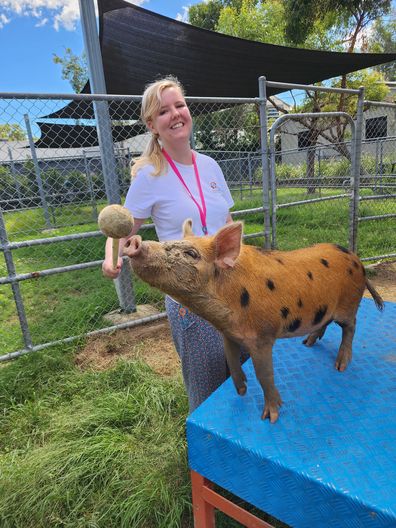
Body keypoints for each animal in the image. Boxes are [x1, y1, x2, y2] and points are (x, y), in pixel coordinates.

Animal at [124, 221, 384, 422]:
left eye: (191, 254)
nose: (135, 242)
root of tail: (359, 261)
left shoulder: (263, 337)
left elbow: (264, 374)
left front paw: (271, 417)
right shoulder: (228, 332)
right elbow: (231, 358)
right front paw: (241, 390)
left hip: (348, 305)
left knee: (351, 327)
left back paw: (340, 366)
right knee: (325, 323)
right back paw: (307, 343)